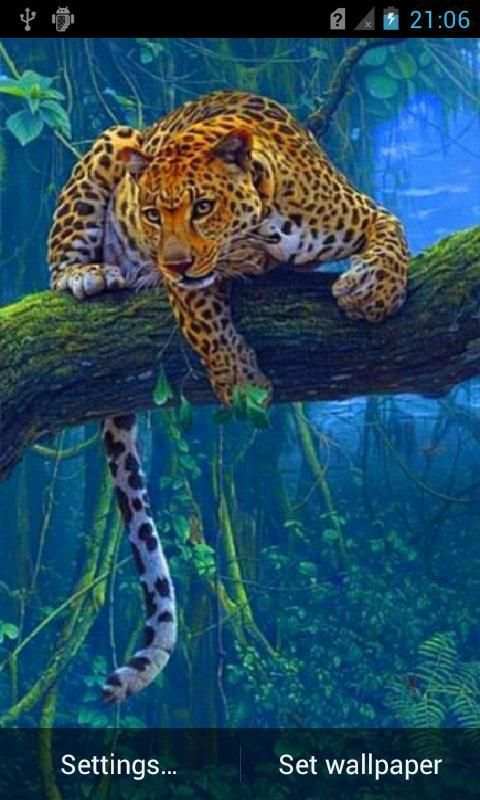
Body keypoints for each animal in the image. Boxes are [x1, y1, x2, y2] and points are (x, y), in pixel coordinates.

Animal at [48, 90, 409, 703]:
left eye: (202, 206)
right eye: (152, 214)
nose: (171, 260)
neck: (264, 228)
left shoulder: (363, 210)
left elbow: (394, 235)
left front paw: (373, 292)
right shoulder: (187, 286)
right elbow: (206, 322)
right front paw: (241, 384)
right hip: (113, 142)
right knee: (57, 265)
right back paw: (87, 274)